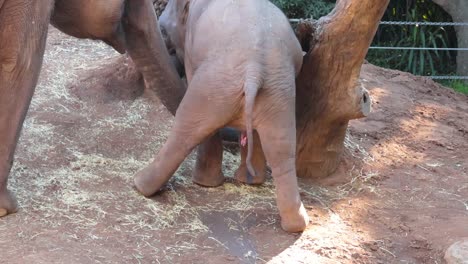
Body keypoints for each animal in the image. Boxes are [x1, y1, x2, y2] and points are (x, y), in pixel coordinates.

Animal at [134, 0, 310, 232]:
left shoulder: (191, 49)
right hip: (279, 93)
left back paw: (143, 184)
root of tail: (253, 71)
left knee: (187, 131)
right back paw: (294, 222)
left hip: (214, 85)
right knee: (282, 148)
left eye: (163, 29)